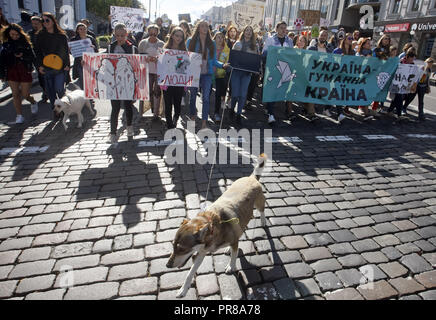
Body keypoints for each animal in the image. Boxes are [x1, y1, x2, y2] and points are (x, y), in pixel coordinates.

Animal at [167, 153, 268, 298]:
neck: (213, 225)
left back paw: (263, 221)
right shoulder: (201, 252)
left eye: (182, 249)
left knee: (262, 211)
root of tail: (251, 178)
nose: (167, 265)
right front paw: (183, 290)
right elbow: (190, 273)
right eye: (173, 246)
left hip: (259, 203)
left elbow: (234, 255)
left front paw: (231, 266)